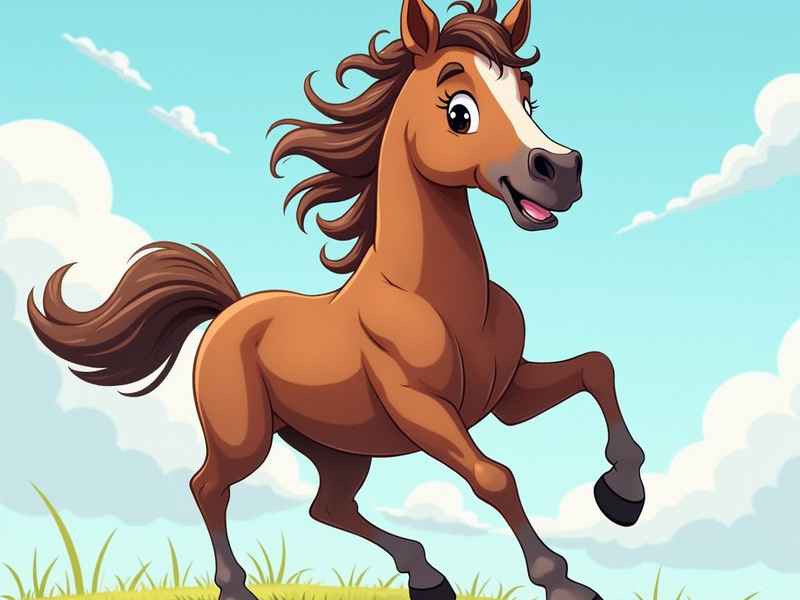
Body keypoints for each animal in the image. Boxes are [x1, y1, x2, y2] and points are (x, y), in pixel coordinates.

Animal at [27, 1, 646, 599]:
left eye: (528, 97)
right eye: (459, 111)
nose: (560, 170)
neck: (437, 300)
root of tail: (227, 310)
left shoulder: (505, 394)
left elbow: (596, 367)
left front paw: (623, 494)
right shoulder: (422, 409)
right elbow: (495, 476)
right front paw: (562, 580)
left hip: (338, 446)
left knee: (328, 506)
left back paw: (424, 574)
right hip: (245, 439)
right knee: (208, 486)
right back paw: (237, 587)